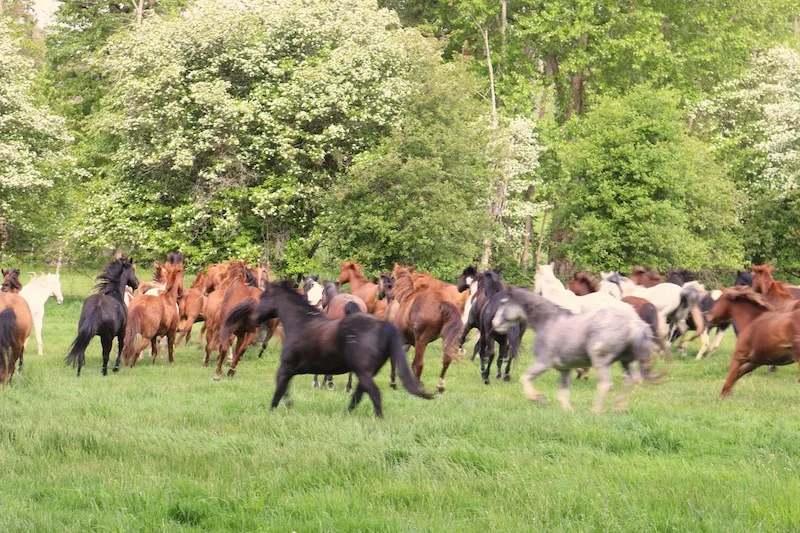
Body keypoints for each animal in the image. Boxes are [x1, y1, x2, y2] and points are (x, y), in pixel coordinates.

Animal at [222, 280, 434, 418]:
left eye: (264, 296)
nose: (254, 318)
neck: (300, 323)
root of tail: (385, 327)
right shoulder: (291, 370)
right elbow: (285, 388)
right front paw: (288, 406)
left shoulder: (286, 366)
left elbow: (279, 389)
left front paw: (273, 410)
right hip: (366, 372)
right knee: (359, 394)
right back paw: (347, 414)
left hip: (364, 372)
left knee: (374, 394)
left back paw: (377, 418)